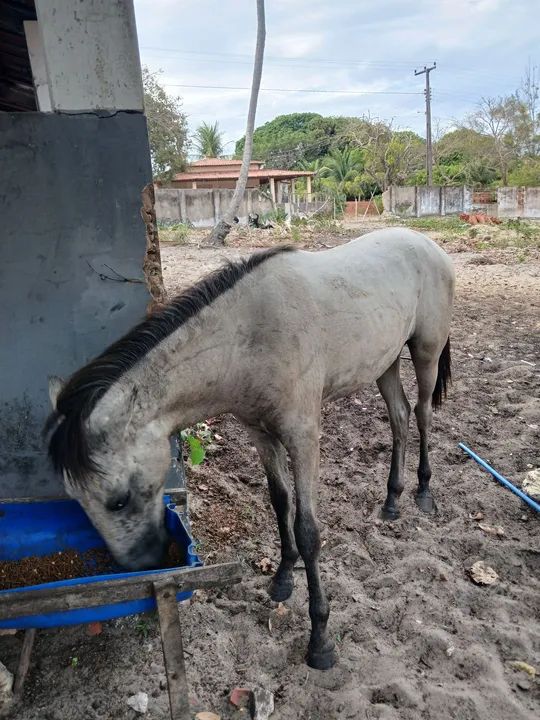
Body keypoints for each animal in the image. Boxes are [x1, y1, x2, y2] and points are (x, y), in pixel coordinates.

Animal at [45, 228, 454, 670]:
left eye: (117, 501)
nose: (143, 565)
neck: (248, 339)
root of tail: (428, 244)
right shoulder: (260, 434)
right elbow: (280, 503)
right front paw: (282, 578)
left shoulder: (303, 437)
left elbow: (308, 530)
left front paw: (320, 639)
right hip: (385, 362)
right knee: (399, 417)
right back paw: (392, 500)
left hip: (425, 353)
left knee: (422, 414)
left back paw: (424, 492)